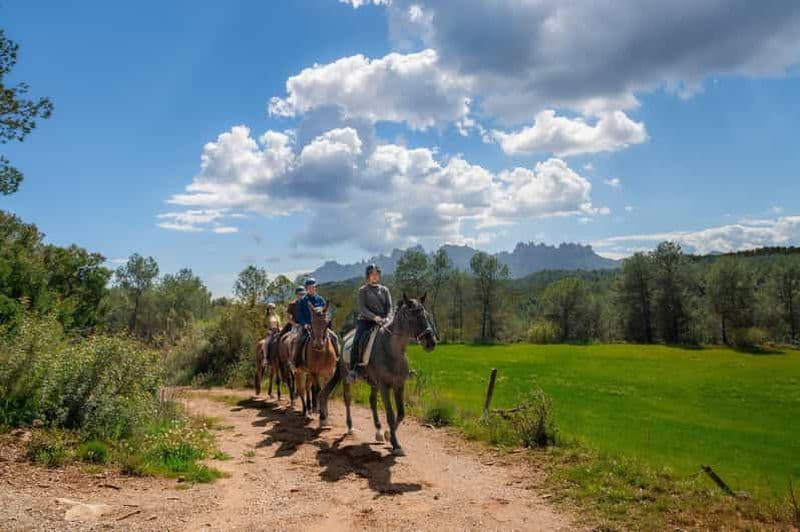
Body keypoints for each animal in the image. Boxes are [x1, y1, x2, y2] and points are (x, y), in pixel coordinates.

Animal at [318, 294, 436, 456]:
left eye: (425, 315)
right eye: (413, 316)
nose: (431, 342)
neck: (392, 351)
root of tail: (345, 337)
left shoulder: (399, 385)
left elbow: (401, 413)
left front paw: (387, 434)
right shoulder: (384, 386)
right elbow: (391, 415)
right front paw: (396, 445)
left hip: (373, 383)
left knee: (372, 401)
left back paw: (379, 431)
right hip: (346, 377)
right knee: (347, 399)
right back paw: (350, 427)